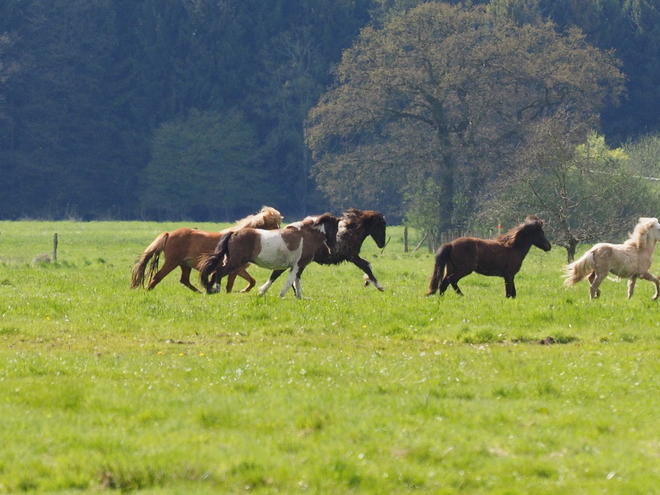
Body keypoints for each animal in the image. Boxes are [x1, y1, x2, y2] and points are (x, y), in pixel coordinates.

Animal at [130, 206, 282, 292]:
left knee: (184, 280)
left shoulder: (239, 269)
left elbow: (251, 281)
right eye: (274, 224)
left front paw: (243, 291)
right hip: (172, 262)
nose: (281, 234)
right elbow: (230, 285)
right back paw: (148, 291)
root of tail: (169, 234)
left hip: (184, 264)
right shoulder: (234, 269)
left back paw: (199, 291)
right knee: (158, 276)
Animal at [199, 213, 338, 298]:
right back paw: (216, 289)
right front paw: (281, 295)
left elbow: (288, 280)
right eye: (336, 228)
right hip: (235, 262)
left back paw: (210, 290)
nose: (334, 249)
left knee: (215, 273)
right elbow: (289, 281)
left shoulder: (294, 266)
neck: (306, 236)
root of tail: (234, 233)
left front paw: (299, 297)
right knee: (219, 272)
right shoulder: (297, 265)